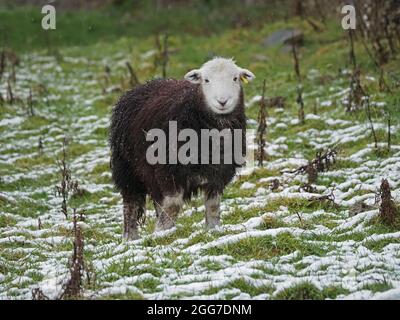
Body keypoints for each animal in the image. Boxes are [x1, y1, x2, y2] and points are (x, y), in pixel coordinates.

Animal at [108, 57, 255, 239]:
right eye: (206, 80)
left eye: (235, 78)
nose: (222, 101)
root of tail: (138, 87)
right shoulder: (170, 170)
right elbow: (173, 205)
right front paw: (160, 234)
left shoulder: (219, 173)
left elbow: (213, 205)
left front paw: (213, 230)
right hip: (127, 168)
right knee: (131, 203)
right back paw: (131, 237)